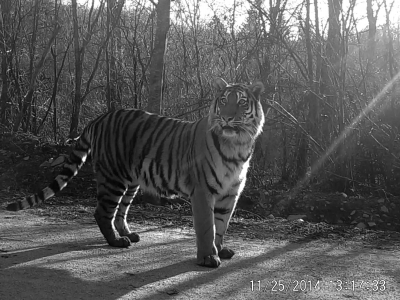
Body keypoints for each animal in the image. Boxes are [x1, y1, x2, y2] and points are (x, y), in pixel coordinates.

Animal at [6, 78, 266, 268]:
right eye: (223, 101)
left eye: (241, 103)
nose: (227, 117)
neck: (238, 145)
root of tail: (99, 118)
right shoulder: (203, 192)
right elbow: (207, 227)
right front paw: (208, 257)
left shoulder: (230, 193)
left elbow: (221, 225)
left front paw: (221, 249)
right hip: (113, 178)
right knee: (102, 212)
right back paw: (116, 241)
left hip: (131, 181)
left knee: (120, 212)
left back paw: (129, 235)